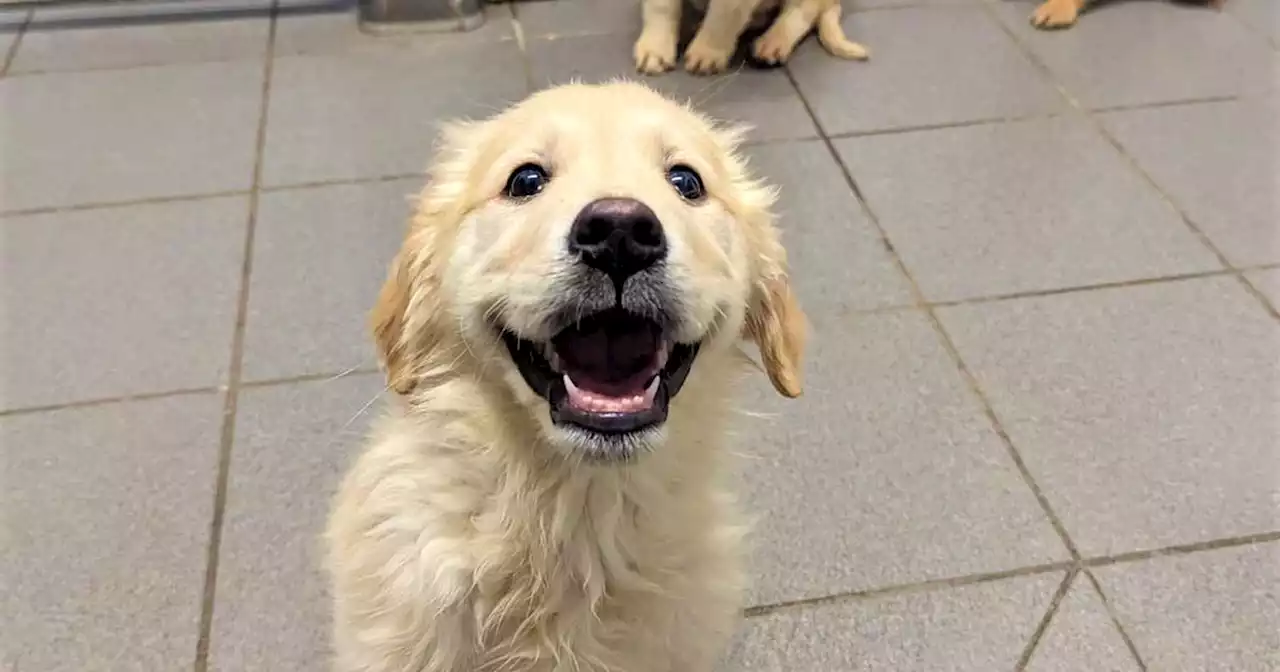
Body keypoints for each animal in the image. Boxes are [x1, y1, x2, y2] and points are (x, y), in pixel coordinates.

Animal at [632, 0, 865, 75]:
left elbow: (724, 13)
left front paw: (707, 53)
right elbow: (660, 7)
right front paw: (655, 50)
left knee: (805, 9)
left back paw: (773, 43)